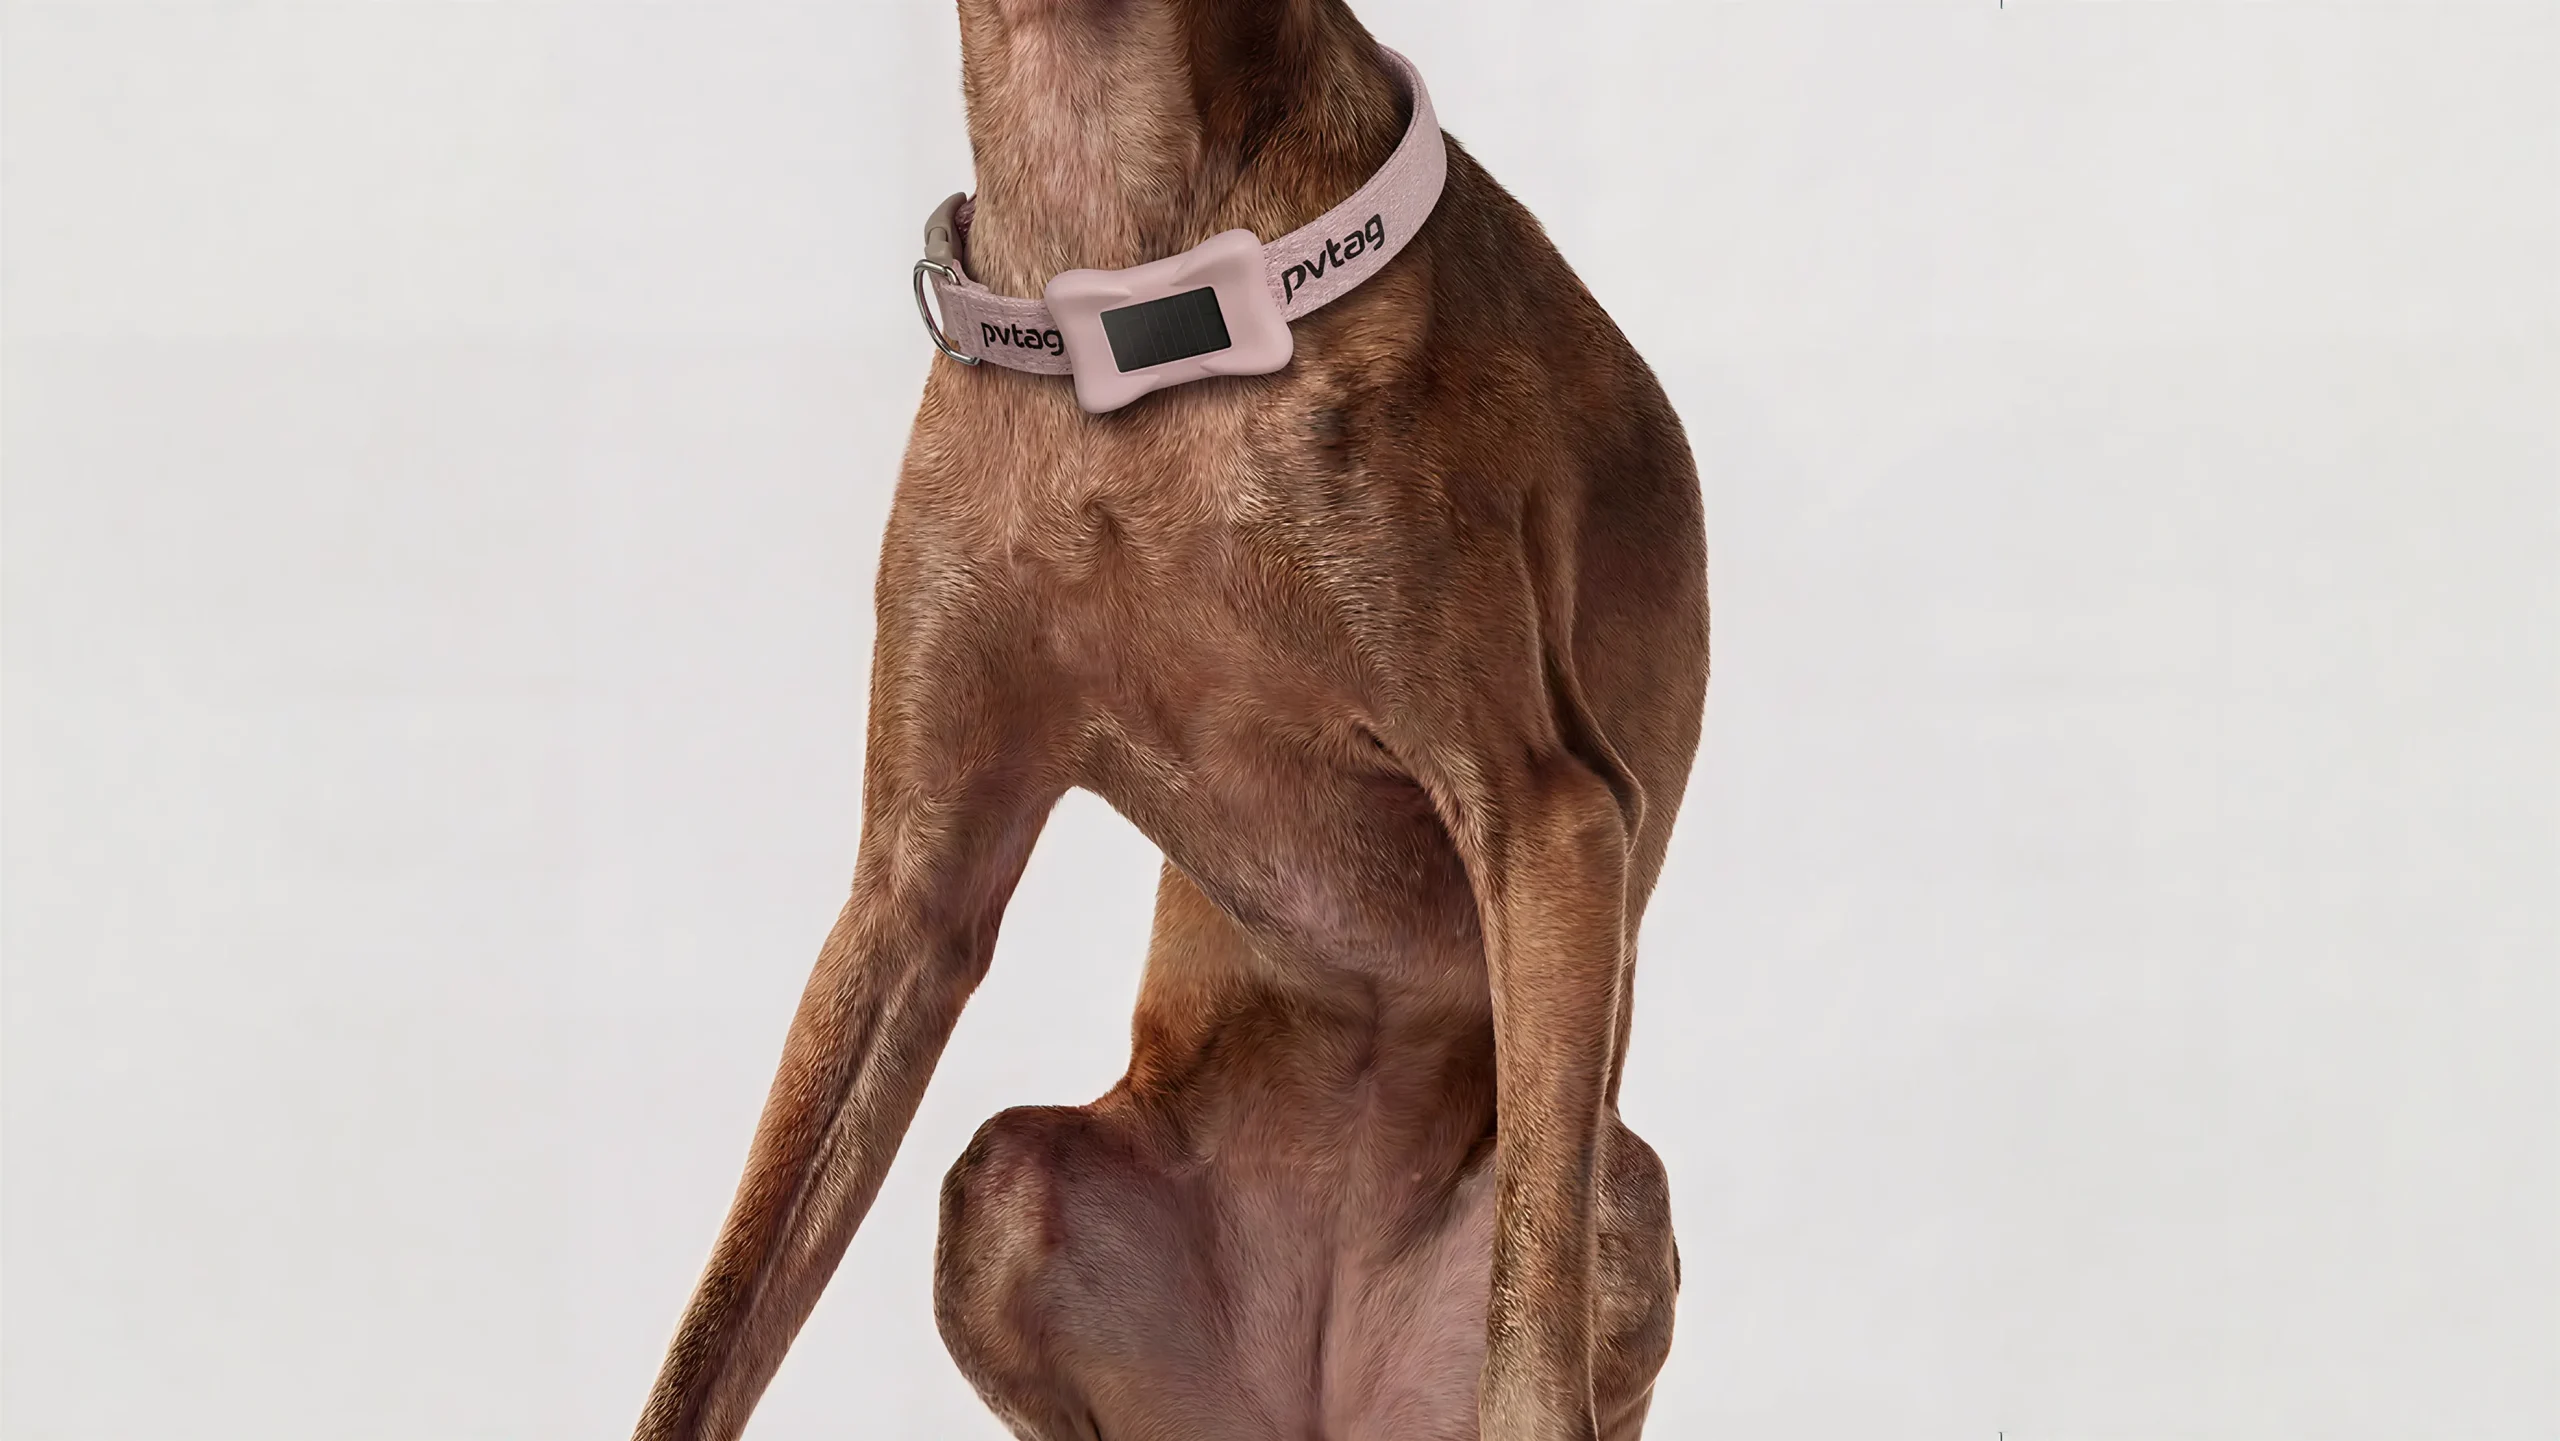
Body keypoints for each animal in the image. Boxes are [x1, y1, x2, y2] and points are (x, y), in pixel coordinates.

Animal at [632, 1, 1706, 1437]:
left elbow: (1531, 1341)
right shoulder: (912, 890)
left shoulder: (1549, 815)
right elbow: (722, 1317)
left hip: (1618, 1208)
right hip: (1012, 1187)